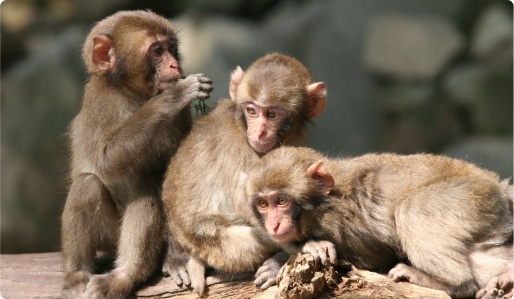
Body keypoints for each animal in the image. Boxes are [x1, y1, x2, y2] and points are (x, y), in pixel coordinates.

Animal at [60, 9, 212, 299]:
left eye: (172, 48)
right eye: (157, 51)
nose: (174, 66)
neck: (133, 93)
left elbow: (177, 179)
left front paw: (176, 258)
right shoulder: (100, 101)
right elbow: (106, 161)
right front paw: (174, 95)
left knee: (148, 183)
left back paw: (125, 276)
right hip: (110, 236)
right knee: (88, 184)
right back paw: (79, 274)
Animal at [160, 53, 326, 296]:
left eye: (272, 114)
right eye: (252, 111)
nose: (259, 132)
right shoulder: (246, 151)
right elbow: (247, 202)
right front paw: (306, 245)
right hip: (221, 249)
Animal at [242, 146, 510, 298]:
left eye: (281, 201)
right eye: (263, 204)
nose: (274, 225)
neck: (323, 204)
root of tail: (501, 188)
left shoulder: (344, 226)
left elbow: (374, 260)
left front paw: (304, 248)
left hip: (473, 197)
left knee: (412, 209)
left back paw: (453, 284)